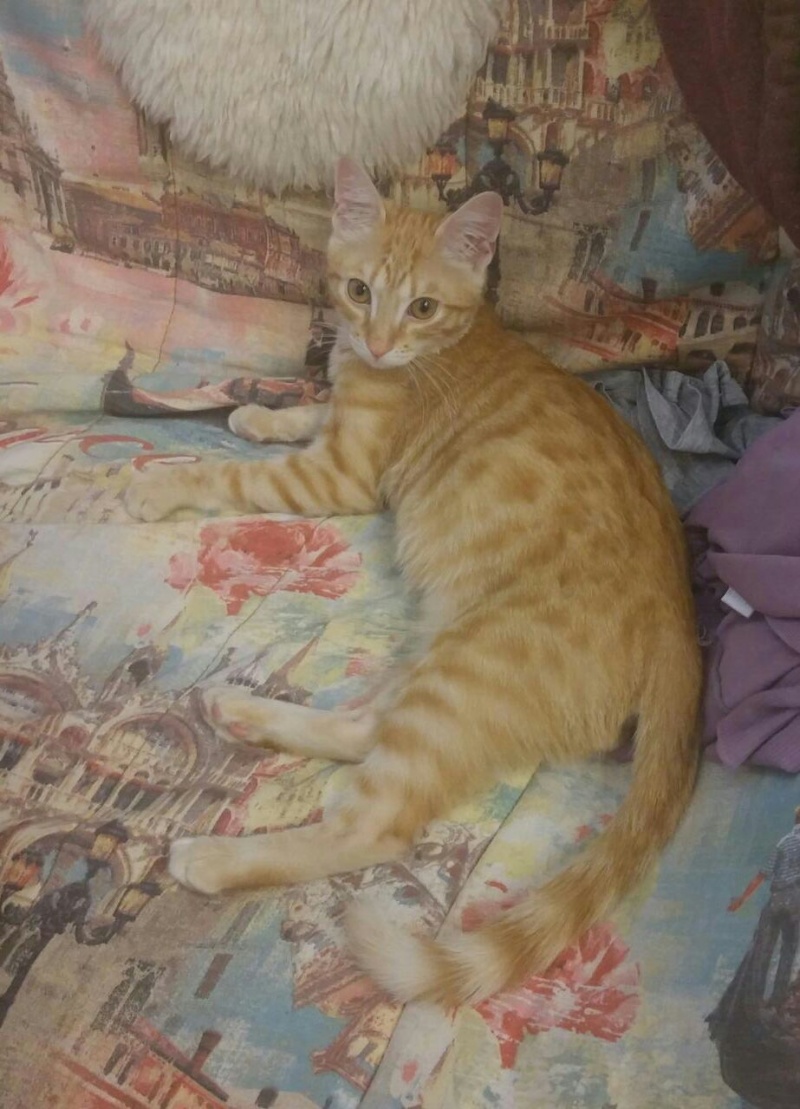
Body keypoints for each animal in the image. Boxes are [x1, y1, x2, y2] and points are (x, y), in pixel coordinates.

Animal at [125, 157, 701, 1006]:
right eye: (359, 289)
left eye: (422, 306)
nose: (377, 340)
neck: (426, 355)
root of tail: (683, 620)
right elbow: (310, 416)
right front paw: (268, 415)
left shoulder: (336, 477)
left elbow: (232, 477)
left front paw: (168, 482)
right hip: (442, 645)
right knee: (366, 729)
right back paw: (242, 711)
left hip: (467, 669)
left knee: (375, 824)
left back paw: (215, 856)